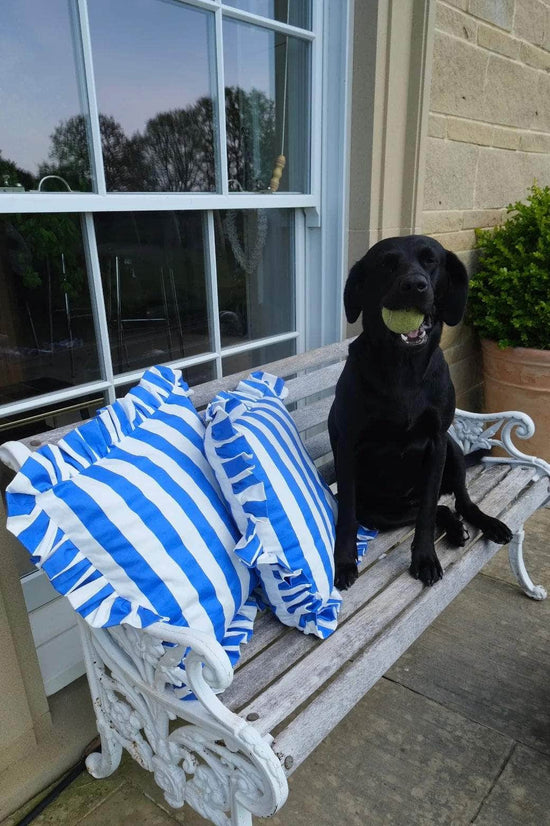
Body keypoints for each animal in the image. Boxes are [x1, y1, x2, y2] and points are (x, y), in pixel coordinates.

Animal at [328, 235, 512, 588]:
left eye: (431, 260)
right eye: (386, 263)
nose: (414, 285)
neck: (404, 368)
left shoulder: (437, 442)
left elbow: (427, 513)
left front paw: (425, 558)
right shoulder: (347, 446)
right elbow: (347, 515)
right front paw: (343, 562)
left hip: (453, 453)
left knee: (458, 502)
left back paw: (484, 523)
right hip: (381, 511)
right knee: (437, 509)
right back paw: (454, 528)